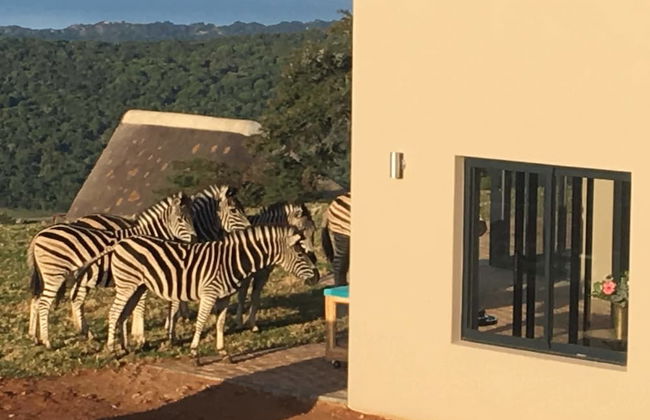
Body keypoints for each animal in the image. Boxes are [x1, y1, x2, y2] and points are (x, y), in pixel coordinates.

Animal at [27, 192, 196, 349]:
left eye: (192, 217)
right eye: (180, 219)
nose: (194, 239)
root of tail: (38, 235)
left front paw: (134, 336)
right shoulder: (142, 278)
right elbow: (140, 306)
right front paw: (140, 337)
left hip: (50, 277)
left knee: (37, 301)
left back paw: (36, 337)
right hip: (55, 274)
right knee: (44, 303)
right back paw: (47, 341)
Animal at [73, 225, 320, 364]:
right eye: (300, 254)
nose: (317, 277)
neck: (233, 260)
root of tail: (121, 242)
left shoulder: (224, 296)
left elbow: (219, 323)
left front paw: (223, 353)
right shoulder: (209, 293)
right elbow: (201, 322)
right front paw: (195, 354)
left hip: (138, 286)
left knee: (123, 314)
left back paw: (124, 349)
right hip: (127, 284)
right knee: (114, 313)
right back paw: (112, 350)